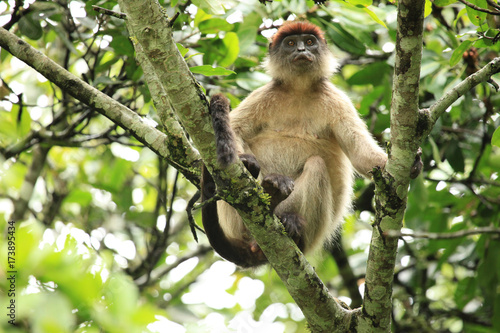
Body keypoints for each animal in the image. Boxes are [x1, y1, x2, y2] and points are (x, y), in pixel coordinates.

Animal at [201, 21, 388, 268]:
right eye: (290, 43)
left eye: (309, 41)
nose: (301, 50)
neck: (299, 89)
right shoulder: (265, 94)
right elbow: (237, 131)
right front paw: (247, 163)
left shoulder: (337, 99)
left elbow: (360, 155)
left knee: (317, 164)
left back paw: (288, 223)